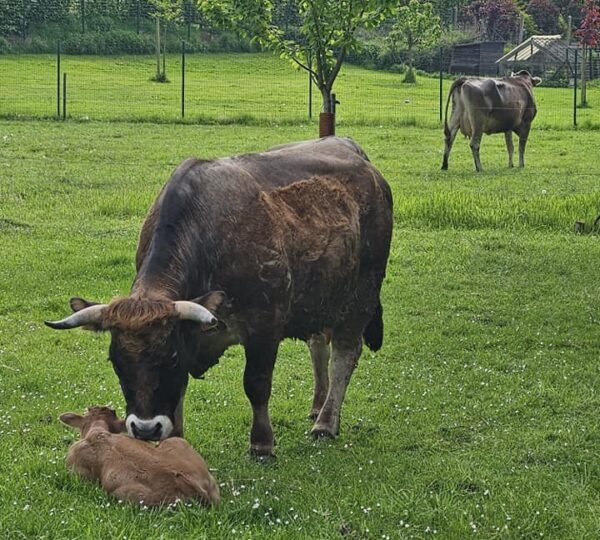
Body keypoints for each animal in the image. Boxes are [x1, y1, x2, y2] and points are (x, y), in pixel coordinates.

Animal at [47, 137, 394, 458]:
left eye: (170, 357)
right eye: (116, 361)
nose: (145, 429)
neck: (208, 231)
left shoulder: (264, 325)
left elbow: (256, 384)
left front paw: (262, 443)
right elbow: (181, 388)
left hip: (360, 295)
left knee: (343, 356)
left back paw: (326, 421)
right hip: (320, 299)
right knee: (318, 346)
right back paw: (318, 405)